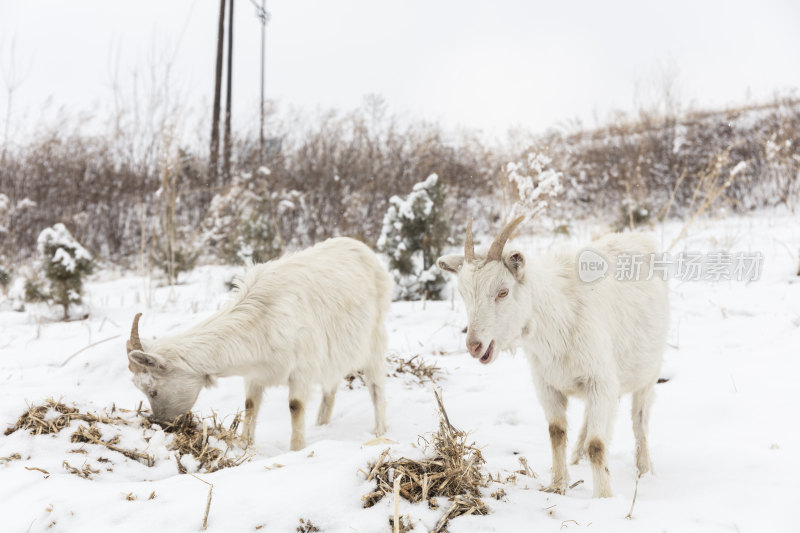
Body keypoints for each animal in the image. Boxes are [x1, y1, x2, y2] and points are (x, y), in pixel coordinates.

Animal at [124, 237, 394, 448]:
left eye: (153, 390)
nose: (163, 424)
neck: (263, 317)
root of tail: (362, 249)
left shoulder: (301, 370)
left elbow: (295, 407)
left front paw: (297, 450)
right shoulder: (255, 375)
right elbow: (250, 406)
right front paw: (245, 445)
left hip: (375, 341)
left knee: (376, 388)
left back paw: (379, 431)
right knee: (331, 386)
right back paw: (322, 424)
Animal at [438, 215, 668, 494]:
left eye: (503, 291)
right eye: (463, 294)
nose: (474, 345)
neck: (559, 316)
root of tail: (638, 237)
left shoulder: (600, 382)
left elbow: (597, 445)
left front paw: (603, 496)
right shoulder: (547, 384)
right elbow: (556, 433)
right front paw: (558, 484)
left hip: (648, 372)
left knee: (639, 420)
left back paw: (644, 469)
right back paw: (577, 457)